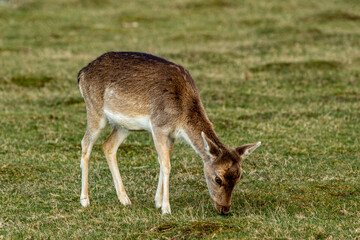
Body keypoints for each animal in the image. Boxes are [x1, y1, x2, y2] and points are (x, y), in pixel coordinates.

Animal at [77, 51, 260, 215]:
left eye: (239, 177)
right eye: (218, 179)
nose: (225, 209)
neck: (181, 116)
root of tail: (81, 73)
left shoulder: (172, 135)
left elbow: (162, 161)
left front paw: (157, 202)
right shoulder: (158, 126)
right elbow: (166, 165)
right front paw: (166, 208)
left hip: (124, 126)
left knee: (108, 145)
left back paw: (124, 199)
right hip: (95, 111)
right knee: (85, 144)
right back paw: (85, 200)